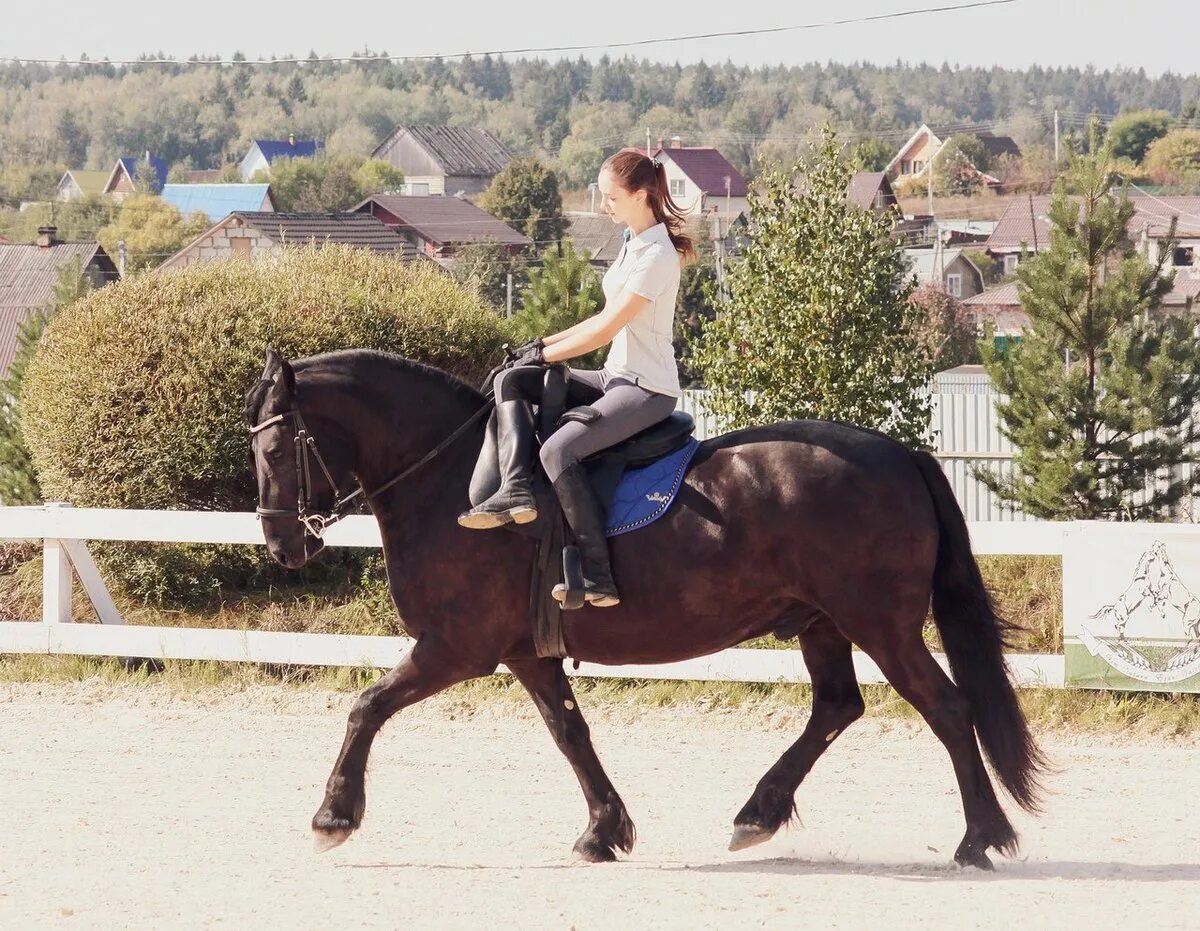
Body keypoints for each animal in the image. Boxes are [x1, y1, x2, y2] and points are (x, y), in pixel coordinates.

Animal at [243, 345, 1041, 868]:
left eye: (277, 449)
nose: (282, 542)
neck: (455, 480)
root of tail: (901, 454)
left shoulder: (454, 647)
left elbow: (366, 707)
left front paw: (333, 814)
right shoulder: (525, 652)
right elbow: (570, 733)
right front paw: (605, 830)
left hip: (880, 624)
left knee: (948, 709)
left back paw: (979, 837)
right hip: (821, 623)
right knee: (838, 707)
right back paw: (758, 813)